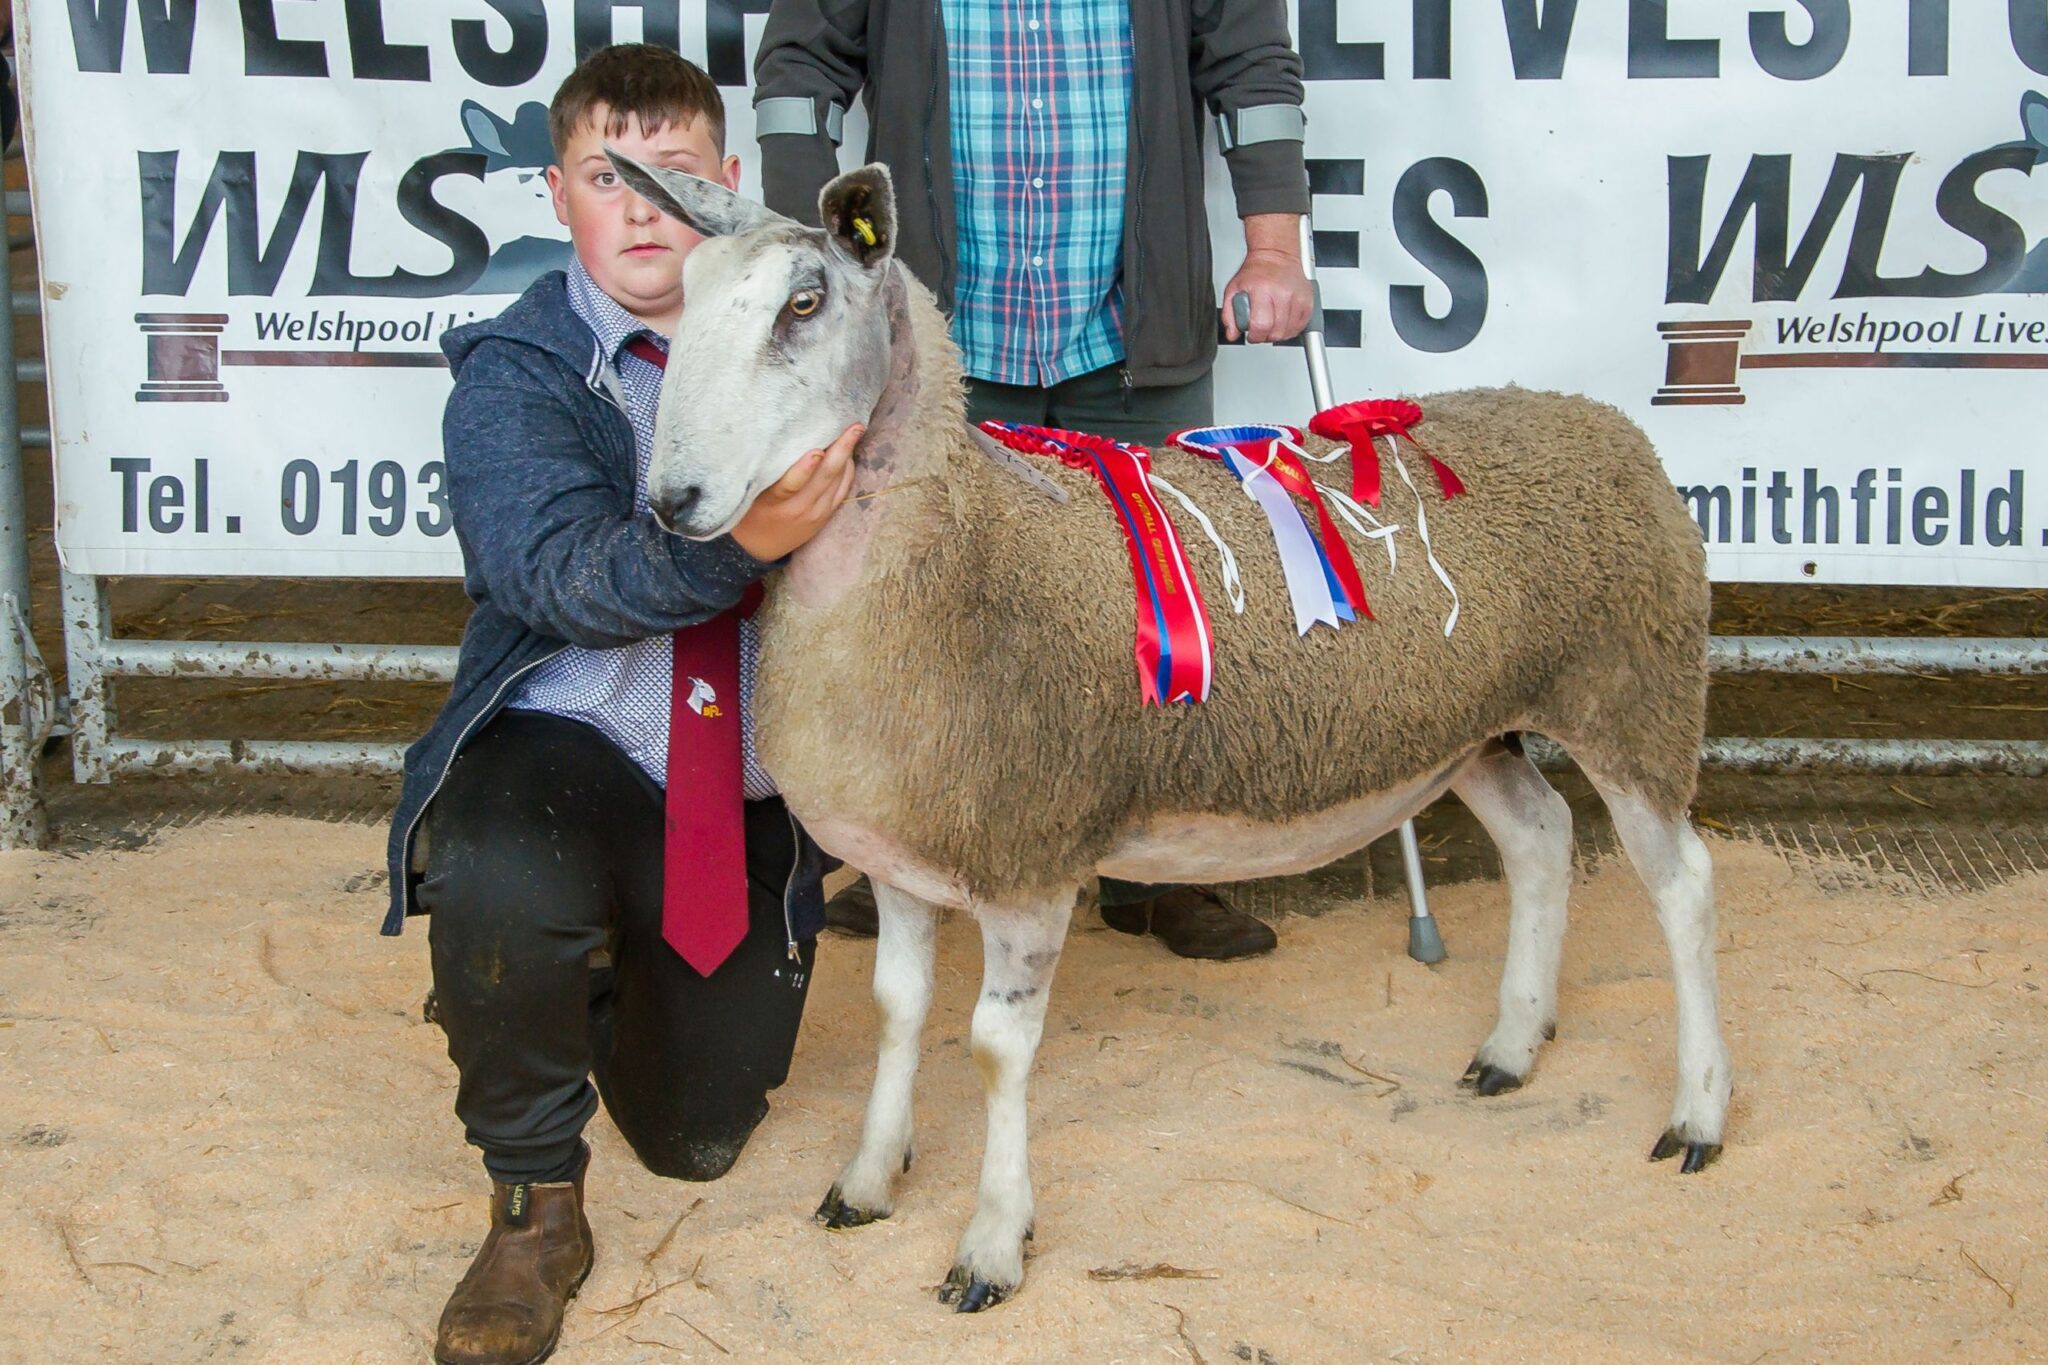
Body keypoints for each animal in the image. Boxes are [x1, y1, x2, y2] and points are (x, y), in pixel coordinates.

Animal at [602, 152, 1728, 1309]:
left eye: (805, 303)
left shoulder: (1030, 854)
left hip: (1631, 688)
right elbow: (894, 1012)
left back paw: (1695, 1114)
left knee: (1681, 883)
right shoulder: (901, 855)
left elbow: (995, 1050)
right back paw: (1510, 1046)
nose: (672, 500)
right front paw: (866, 1180)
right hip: (1475, 730)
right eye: (684, 296)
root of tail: (1602, 422)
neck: (955, 554)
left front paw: (991, 1244)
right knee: (1540, 839)